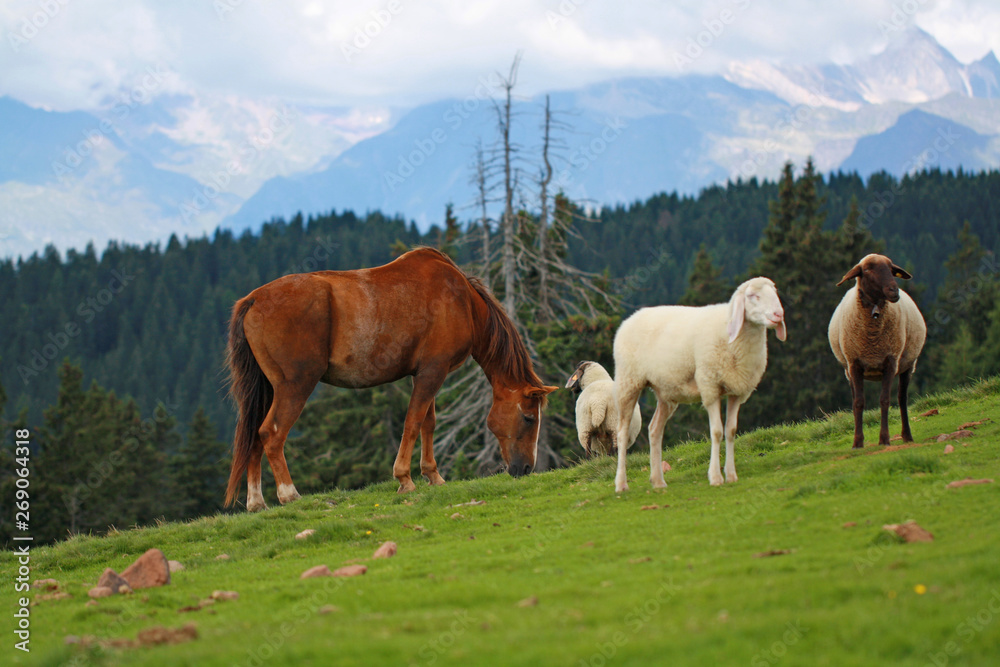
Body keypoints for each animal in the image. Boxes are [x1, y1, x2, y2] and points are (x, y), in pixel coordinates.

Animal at [223, 245, 560, 512]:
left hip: (269, 389)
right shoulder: (432, 372)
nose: (525, 468)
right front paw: (405, 479)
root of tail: (254, 299)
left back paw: (256, 501)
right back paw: (289, 494)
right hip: (295, 386)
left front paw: (433, 475)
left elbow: (427, 423)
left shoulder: (426, 373)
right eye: (529, 418)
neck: (462, 300)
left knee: (254, 434)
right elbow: (413, 422)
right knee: (271, 433)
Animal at [608, 276, 788, 490]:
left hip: (665, 392)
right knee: (622, 433)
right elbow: (717, 432)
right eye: (752, 296)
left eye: (775, 293)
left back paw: (658, 480)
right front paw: (716, 477)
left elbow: (731, 431)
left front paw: (731, 475)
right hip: (628, 382)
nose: (778, 314)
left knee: (654, 430)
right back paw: (621, 484)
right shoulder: (710, 386)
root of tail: (630, 318)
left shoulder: (737, 391)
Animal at [824, 254, 924, 448]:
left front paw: (884, 439)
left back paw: (907, 436)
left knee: (902, 399)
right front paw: (857, 442)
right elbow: (858, 403)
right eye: (868, 270)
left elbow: (884, 400)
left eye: (891, 269)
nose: (894, 290)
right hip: (848, 371)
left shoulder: (890, 362)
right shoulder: (854, 364)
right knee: (856, 399)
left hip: (908, 365)